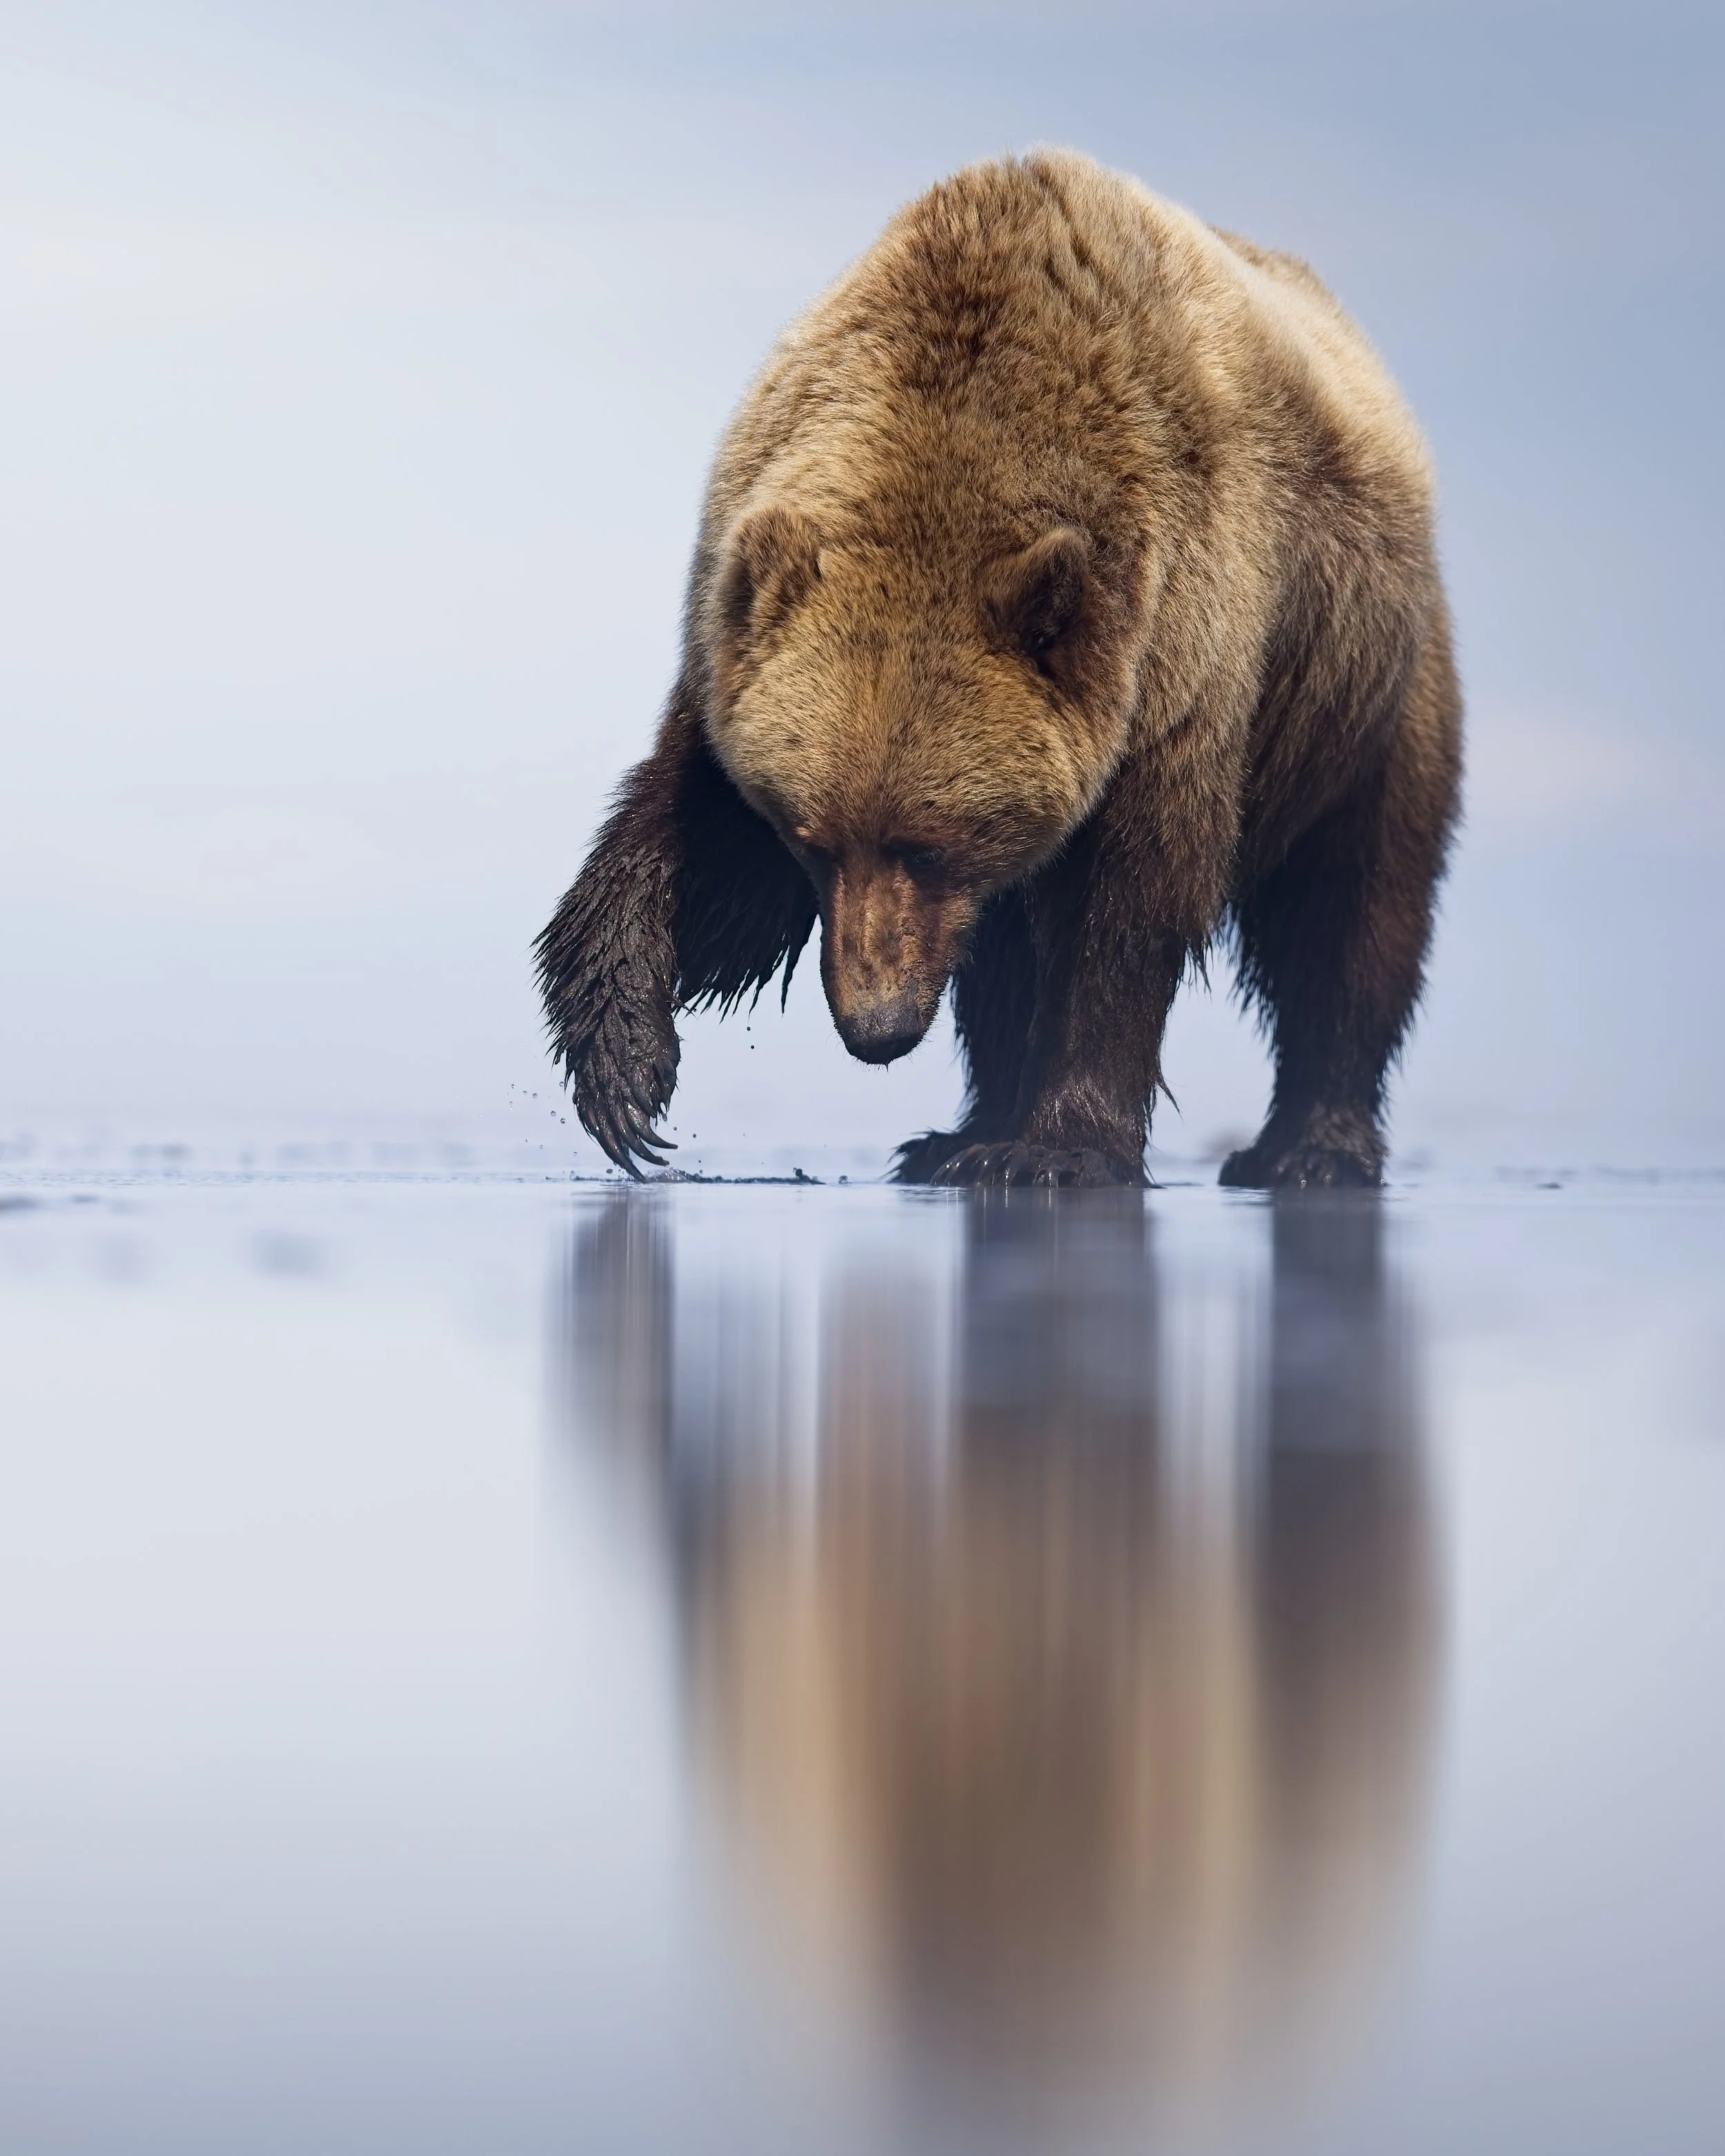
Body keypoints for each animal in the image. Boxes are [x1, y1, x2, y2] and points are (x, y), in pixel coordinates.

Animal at [536, 149, 1462, 1188]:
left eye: (928, 842)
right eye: (812, 837)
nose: (876, 1027)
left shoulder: (1177, 652)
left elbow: (1129, 903)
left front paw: (1061, 1146)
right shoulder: (738, 632)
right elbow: (697, 833)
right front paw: (622, 1064)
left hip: (1366, 687)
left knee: (1353, 911)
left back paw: (1309, 1145)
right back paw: (958, 1133)